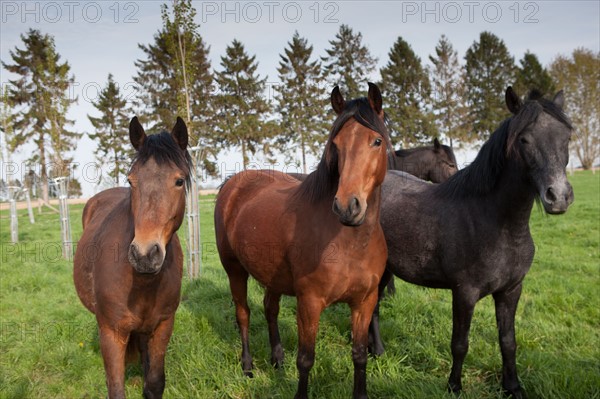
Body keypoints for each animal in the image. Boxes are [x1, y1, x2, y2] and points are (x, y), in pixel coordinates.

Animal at [73, 117, 190, 398]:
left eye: (179, 181)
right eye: (131, 181)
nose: (145, 255)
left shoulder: (162, 326)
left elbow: (155, 383)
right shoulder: (112, 332)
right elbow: (116, 388)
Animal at [214, 83, 390, 399]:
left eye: (376, 141)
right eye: (336, 144)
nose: (347, 207)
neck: (349, 243)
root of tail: (232, 184)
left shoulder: (365, 302)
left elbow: (359, 354)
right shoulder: (309, 302)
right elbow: (306, 358)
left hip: (272, 276)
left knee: (270, 308)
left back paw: (277, 360)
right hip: (234, 270)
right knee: (243, 314)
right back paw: (247, 367)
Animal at [368, 86, 576, 398]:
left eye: (566, 138)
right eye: (524, 139)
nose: (558, 196)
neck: (497, 224)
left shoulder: (511, 290)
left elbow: (508, 342)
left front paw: (512, 387)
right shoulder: (464, 293)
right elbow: (460, 344)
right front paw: (454, 386)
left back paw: (374, 351)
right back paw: (377, 352)